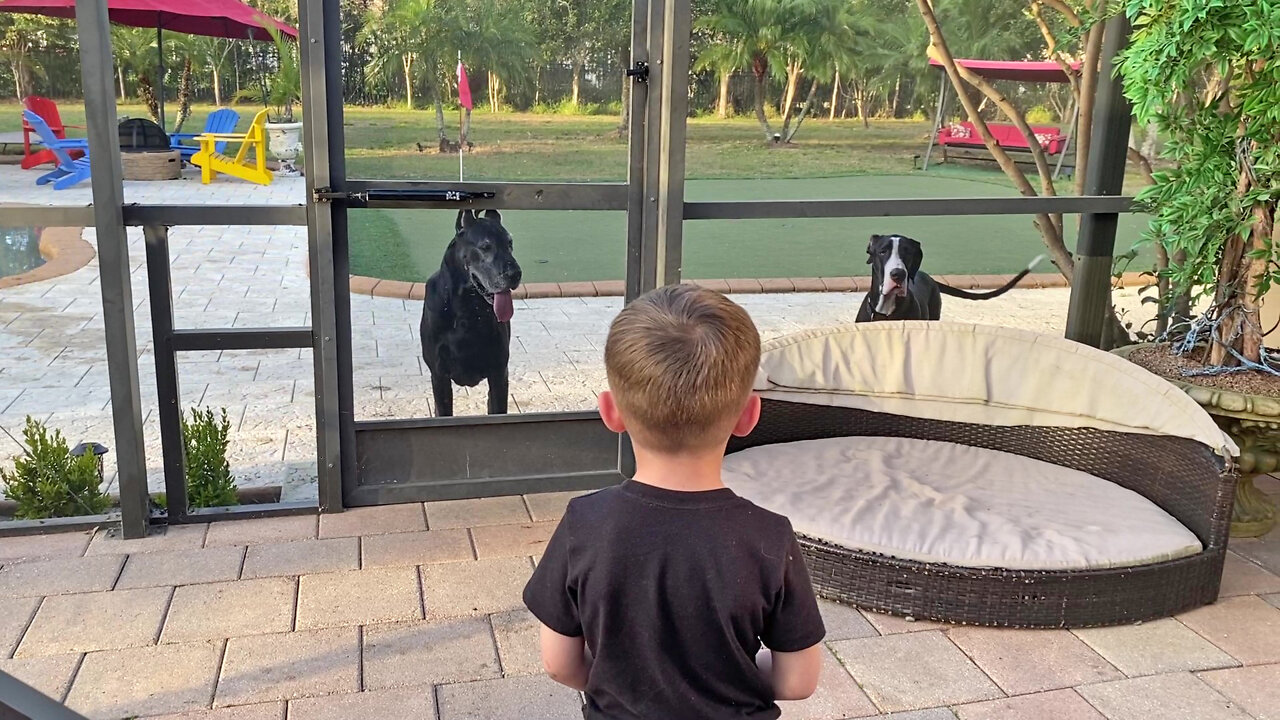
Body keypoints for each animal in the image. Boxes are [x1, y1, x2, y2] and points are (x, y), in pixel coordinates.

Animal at [419, 206, 519, 415]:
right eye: (485, 246)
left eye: (510, 244)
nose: (516, 274)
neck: (467, 308)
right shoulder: (439, 376)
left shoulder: (499, 373)